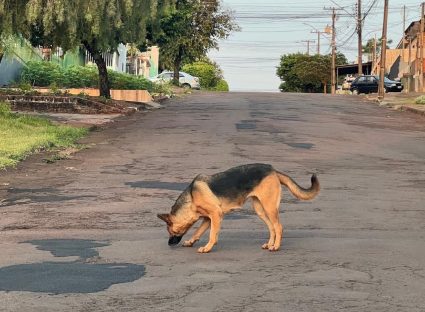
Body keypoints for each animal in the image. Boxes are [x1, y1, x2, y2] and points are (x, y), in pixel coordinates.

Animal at [157, 163, 320, 254]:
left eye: (171, 231)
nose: (169, 244)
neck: (191, 198)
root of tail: (272, 169)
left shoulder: (215, 215)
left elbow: (211, 234)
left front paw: (208, 247)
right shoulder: (208, 219)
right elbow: (198, 232)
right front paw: (191, 242)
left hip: (269, 207)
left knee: (278, 227)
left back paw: (276, 246)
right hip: (260, 209)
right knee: (272, 228)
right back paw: (270, 244)